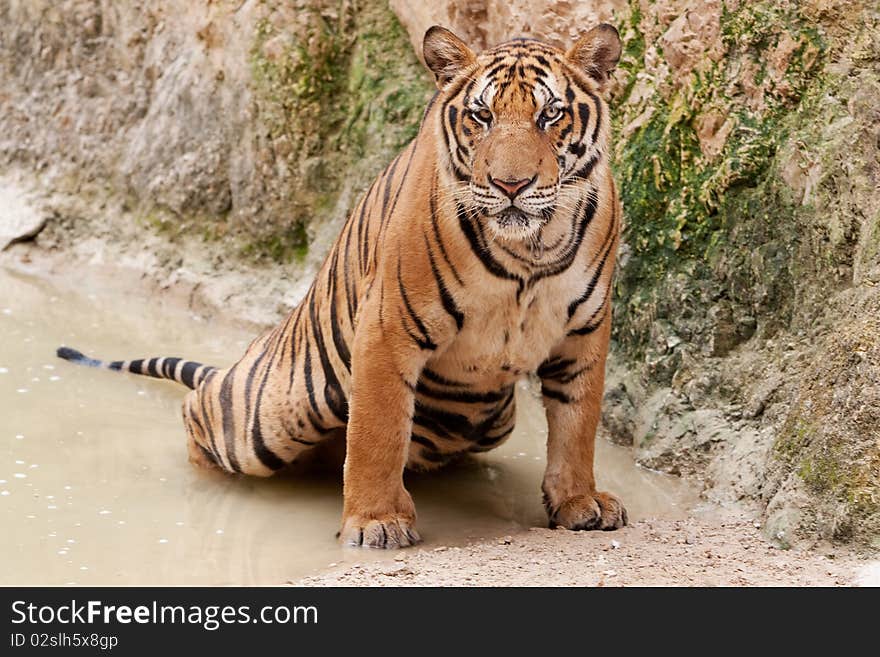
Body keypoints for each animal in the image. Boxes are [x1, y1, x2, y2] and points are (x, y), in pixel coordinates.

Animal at [56, 24, 624, 548]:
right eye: (480, 116)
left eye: (550, 115)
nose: (511, 185)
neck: (530, 250)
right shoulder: (389, 327)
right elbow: (378, 432)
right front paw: (377, 522)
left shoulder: (585, 333)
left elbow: (577, 424)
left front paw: (579, 501)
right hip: (270, 417)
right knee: (199, 410)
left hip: (493, 418)